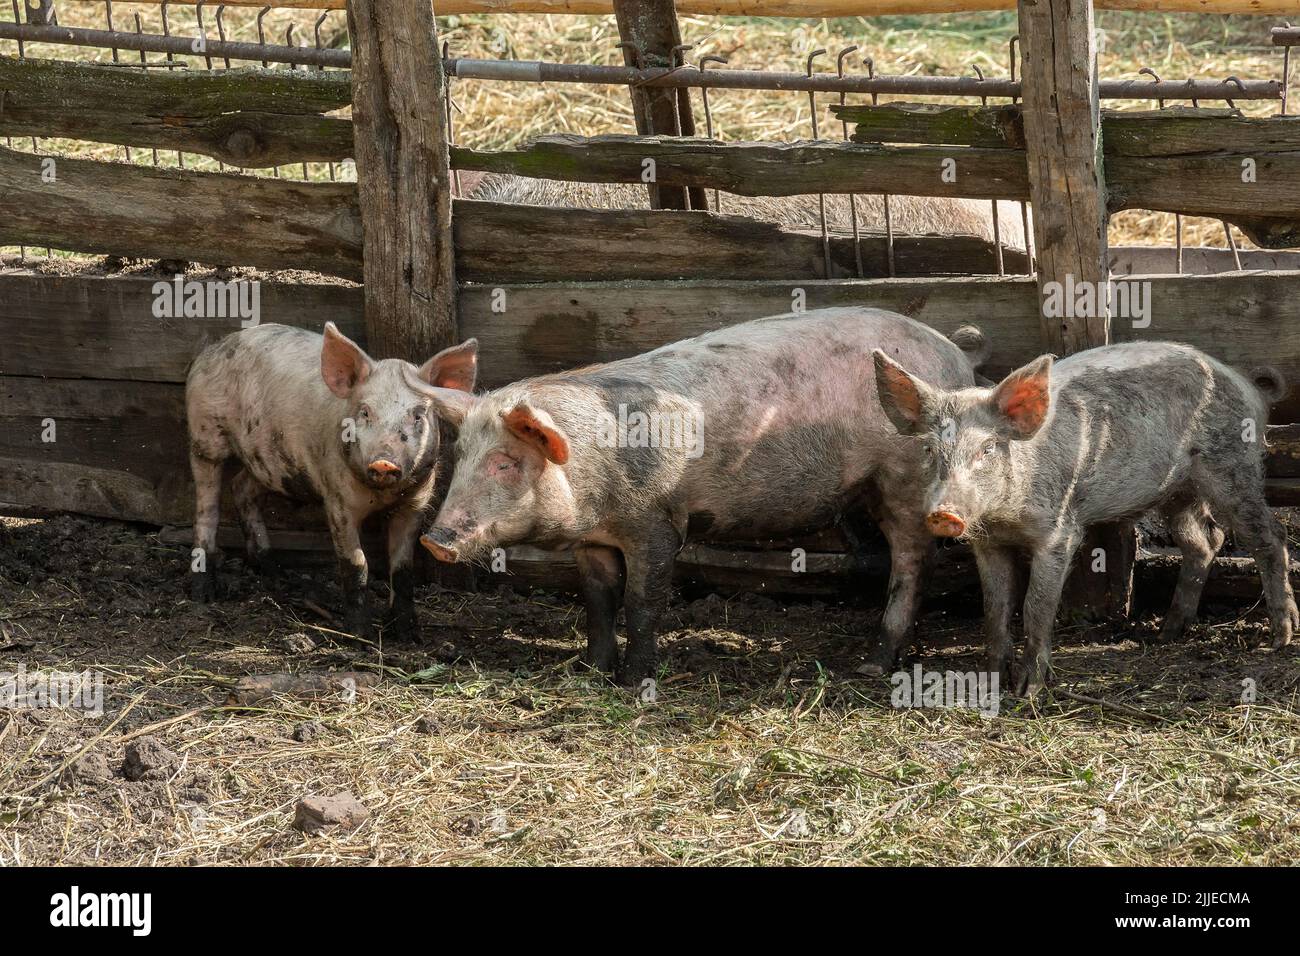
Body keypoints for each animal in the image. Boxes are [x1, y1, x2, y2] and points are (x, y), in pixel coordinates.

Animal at [185, 323, 478, 637]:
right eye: (365, 412)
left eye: (418, 416)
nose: (384, 461)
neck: (382, 494)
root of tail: (213, 348)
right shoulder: (337, 499)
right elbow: (356, 564)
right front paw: (359, 636)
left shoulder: (415, 502)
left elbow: (402, 568)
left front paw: (409, 635)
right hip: (205, 436)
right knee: (207, 508)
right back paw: (204, 594)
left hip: (267, 460)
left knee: (241, 488)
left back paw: (275, 573)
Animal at [400, 307, 988, 684]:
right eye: (461, 457)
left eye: (506, 461)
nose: (435, 540)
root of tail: (954, 354)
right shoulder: (592, 540)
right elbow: (597, 601)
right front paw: (591, 672)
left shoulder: (657, 524)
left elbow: (641, 602)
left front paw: (634, 682)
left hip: (905, 481)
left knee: (913, 562)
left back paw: (873, 665)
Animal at [873, 341, 1298, 696]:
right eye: (930, 449)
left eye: (988, 448)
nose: (943, 514)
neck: (1005, 518)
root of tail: (1250, 388)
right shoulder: (987, 542)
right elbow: (994, 608)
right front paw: (990, 683)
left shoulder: (1059, 533)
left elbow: (1036, 605)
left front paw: (1027, 691)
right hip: (1178, 490)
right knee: (1205, 541)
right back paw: (1168, 633)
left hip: (1233, 468)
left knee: (1270, 537)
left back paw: (1279, 638)